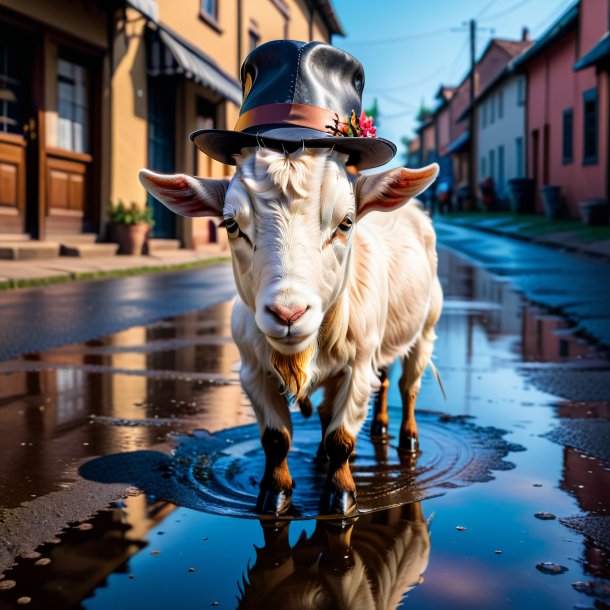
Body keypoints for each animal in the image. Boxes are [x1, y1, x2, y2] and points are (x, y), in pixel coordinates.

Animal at [140, 146, 440, 512]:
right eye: (231, 224)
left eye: (346, 223)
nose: (287, 313)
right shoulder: (252, 371)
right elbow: (276, 438)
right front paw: (275, 494)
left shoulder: (357, 367)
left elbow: (341, 437)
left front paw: (341, 498)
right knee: (369, 385)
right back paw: (366, 432)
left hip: (426, 327)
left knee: (407, 386)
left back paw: (407, 439)